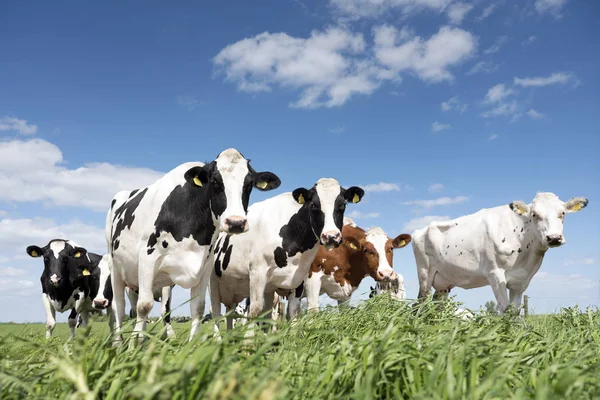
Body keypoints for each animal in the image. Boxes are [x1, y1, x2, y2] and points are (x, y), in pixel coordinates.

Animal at [106, 148, 282, 342]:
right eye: (214, 181)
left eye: (249, 184)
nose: (236, 223)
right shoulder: (148, 258)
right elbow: (144, 306)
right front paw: (133, 346)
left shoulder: (205, 267)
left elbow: (198, 307)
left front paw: (192, 344)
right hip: (116, 268)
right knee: (120, 307)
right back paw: (119, 342)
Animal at [209, 177, 364, 332]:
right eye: (314, 205)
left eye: (342, 205)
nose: (331, 237)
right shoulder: (257, 272)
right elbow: (255, 310)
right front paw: (249, 339)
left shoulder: (298, 278)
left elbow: (293, 312)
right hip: (213, 283)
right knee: (216, 313)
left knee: (235, 314)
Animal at [410, 192, 588, 314]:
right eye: (534, 214)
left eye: (562, 213)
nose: (554, 238)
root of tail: (420, 231)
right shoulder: (495, 273)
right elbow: (505, 309)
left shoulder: (521, 281)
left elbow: (515, 311)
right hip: (425, 274)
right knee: (419, 304)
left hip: (444, 282)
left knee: (437, 307)